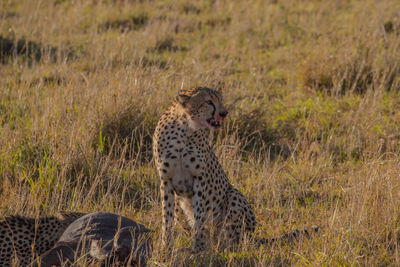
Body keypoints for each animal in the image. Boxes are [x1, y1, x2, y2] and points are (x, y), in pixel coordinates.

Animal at [153, 87, 318, 253]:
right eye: (208, 102)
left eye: (221, 100)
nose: (224, 113)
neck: (185, 127)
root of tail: (253, 237)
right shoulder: (166, 180)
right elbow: (167, 216)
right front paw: (166, 247)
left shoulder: (200, 179)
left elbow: (200, 217)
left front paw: (199, 248)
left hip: (234, 195)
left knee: (233, 238)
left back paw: (225, 248)